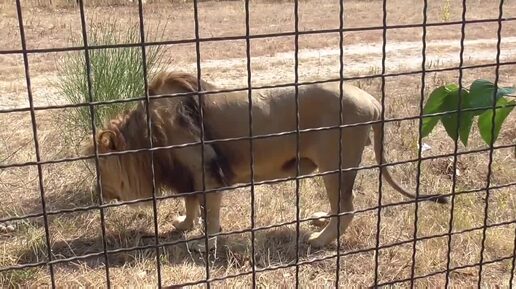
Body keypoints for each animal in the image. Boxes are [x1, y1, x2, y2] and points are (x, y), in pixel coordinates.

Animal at [84, 71, 448, 250]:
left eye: (101, 168)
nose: (101, 192)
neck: (148, 139)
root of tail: (373, 100)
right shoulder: (187, 175)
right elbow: (190, 204)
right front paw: (184, 225)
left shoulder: (205, 171)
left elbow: (209, 212)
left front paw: (203, 244)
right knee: (338, 206)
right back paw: (319, 221)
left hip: (335, 163)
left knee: (347, 209)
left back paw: (319, 241)